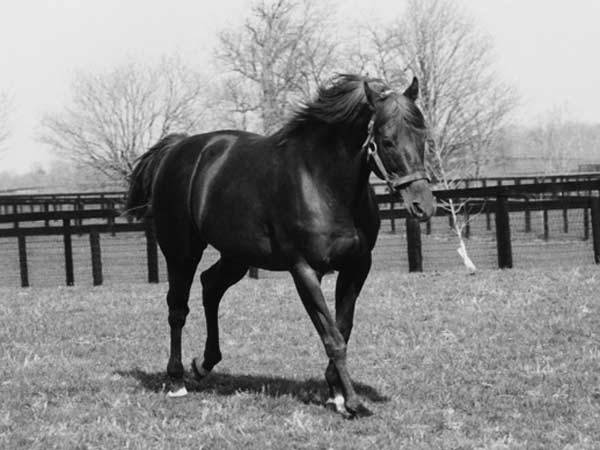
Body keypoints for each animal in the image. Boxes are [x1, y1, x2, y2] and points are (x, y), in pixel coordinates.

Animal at [127, 74, 436, 418]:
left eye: (423, 136)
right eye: (387, 140)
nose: (423, 205)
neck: (322, 182)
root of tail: (176, 149)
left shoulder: (356, 268)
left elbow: (343, 328)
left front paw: (336, 394)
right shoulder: (304, 270)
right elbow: (332, 337)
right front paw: (353, 402)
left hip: (237, 256)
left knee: (211, 287)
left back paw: (203, 365)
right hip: (181, 252)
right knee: (178, 308)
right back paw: (177, 379)